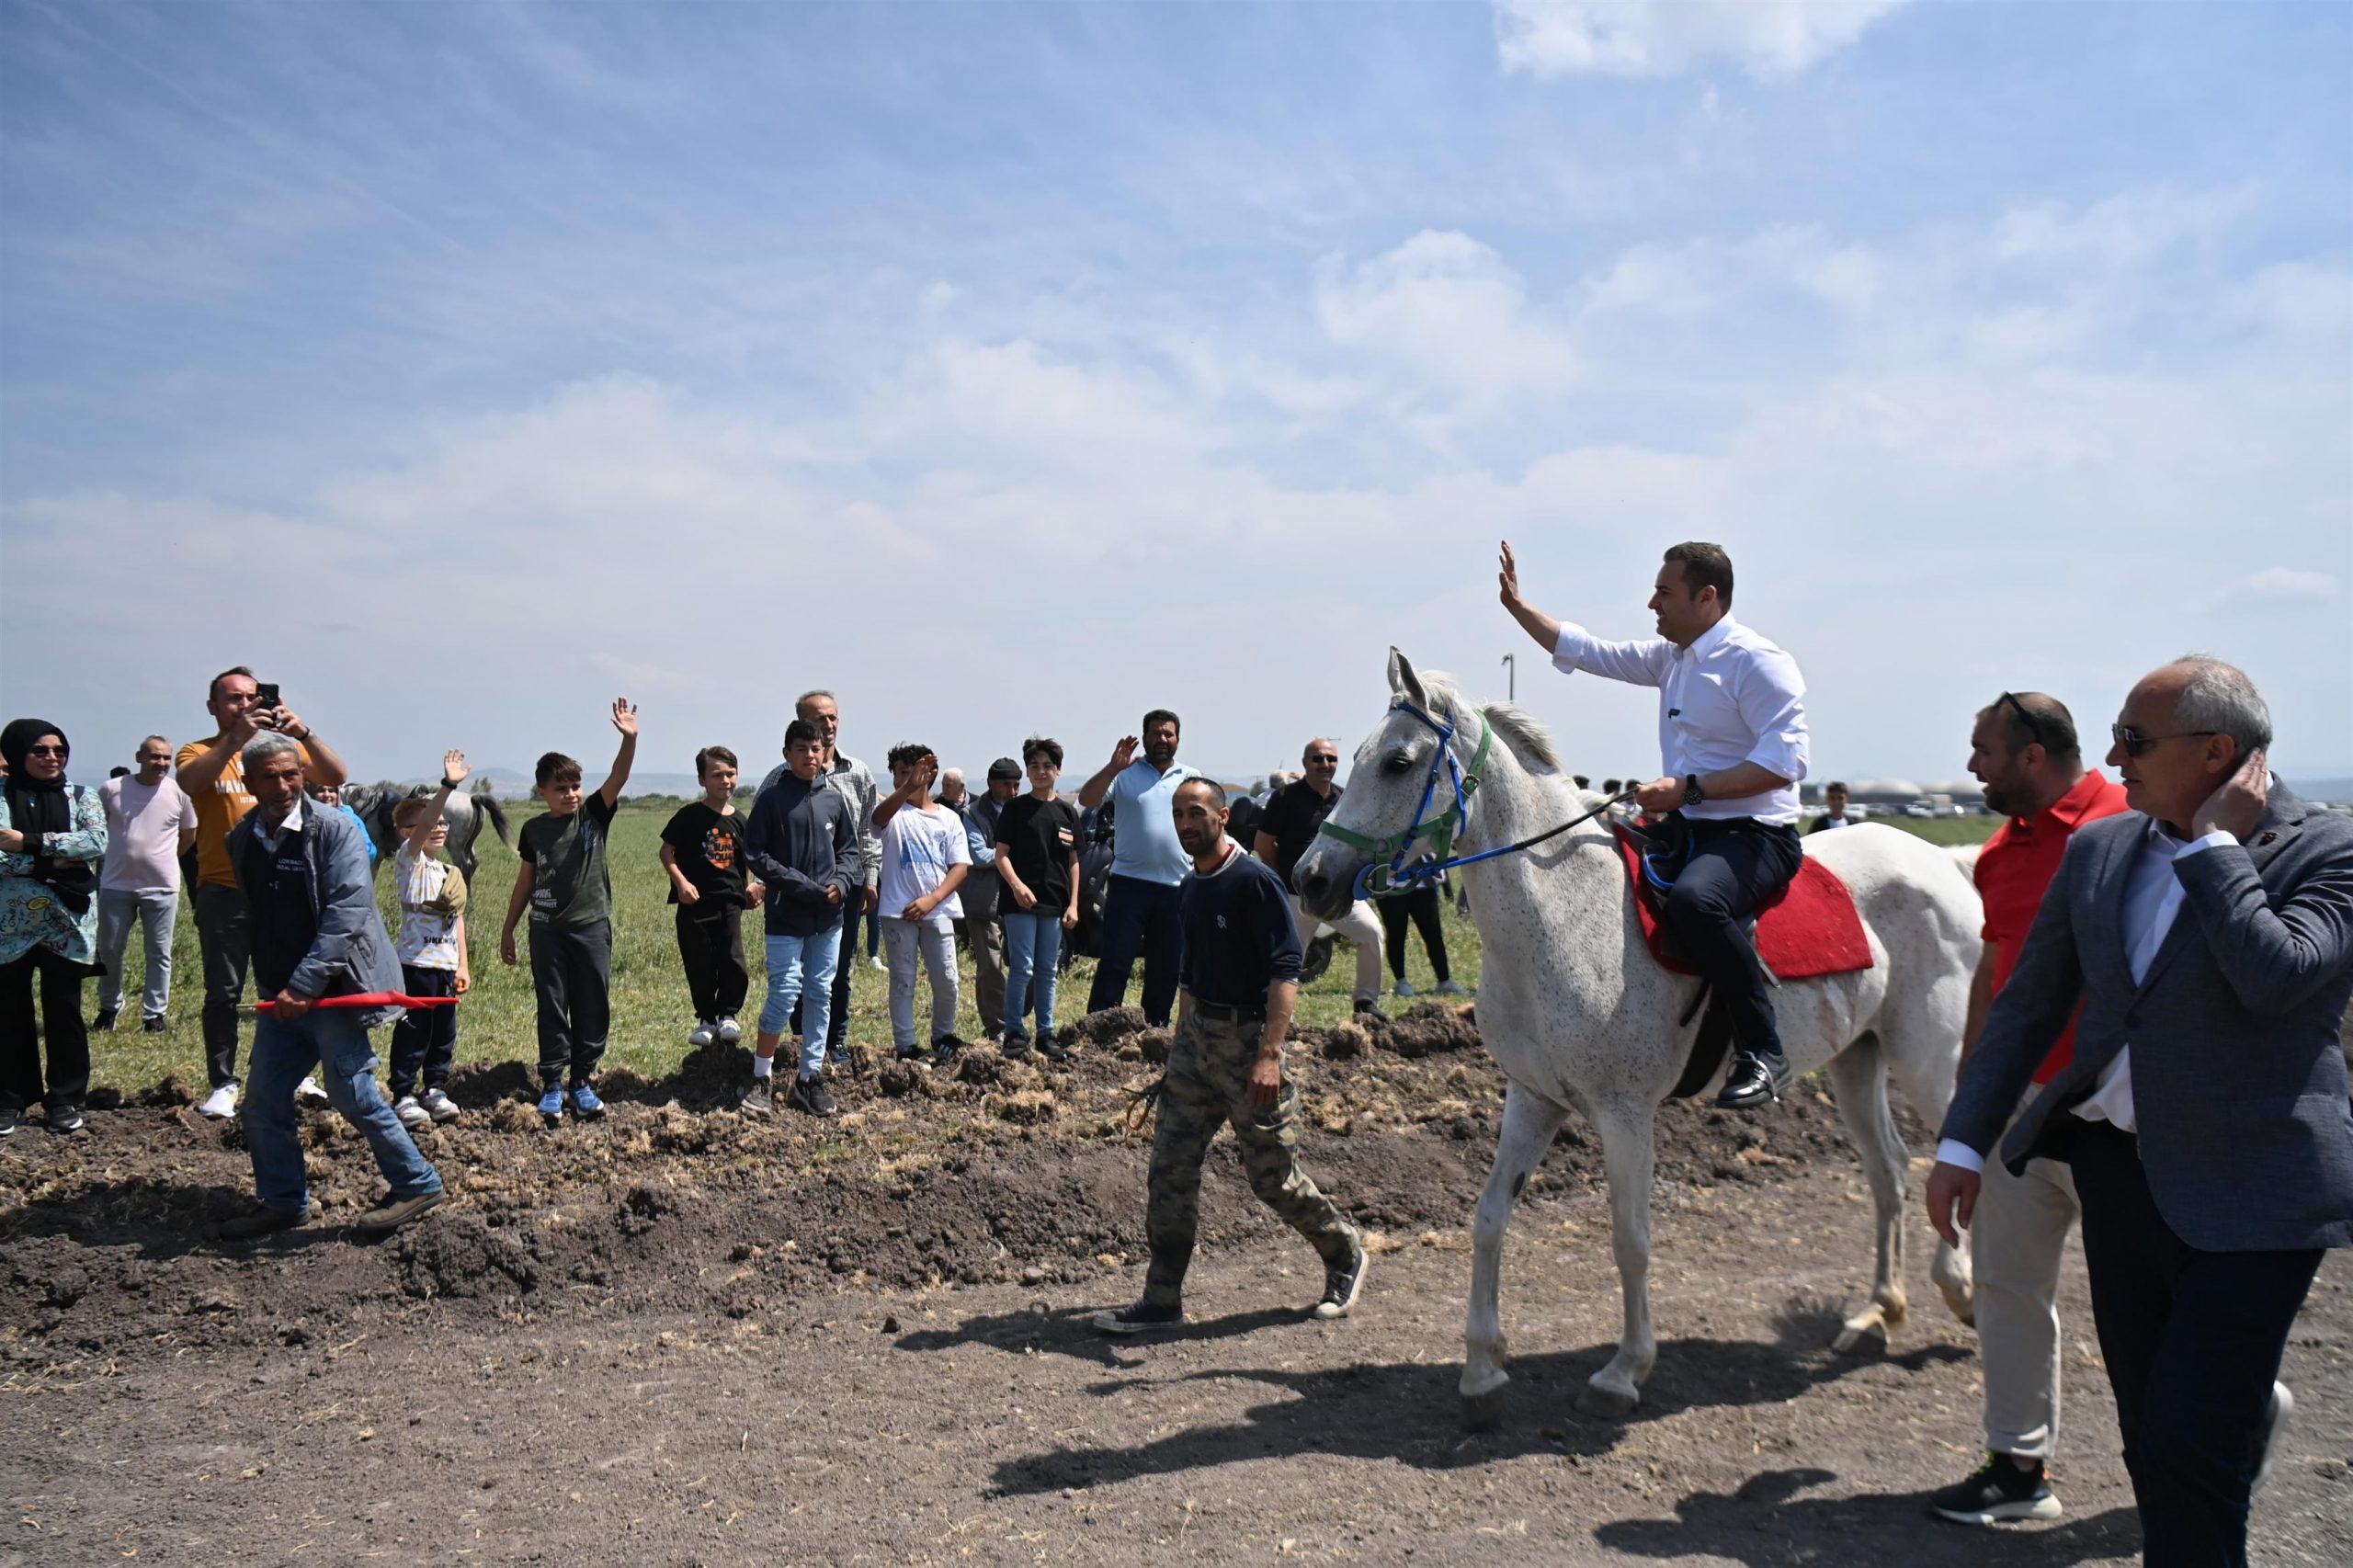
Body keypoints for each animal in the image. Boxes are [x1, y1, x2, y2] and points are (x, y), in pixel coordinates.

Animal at [1289, 644, 1985, 1412]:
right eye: (1355, 757)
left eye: (1398, 762)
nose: (1310, 878)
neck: (1565, 913)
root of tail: (1942, 862)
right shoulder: (1533, 1098)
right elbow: (1489, 1218)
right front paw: (1482, 1364)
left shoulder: (1624, 1113)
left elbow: (1630, 1239)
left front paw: (1626, 1368)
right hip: (1858, 1058)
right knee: (1889, 1171)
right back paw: (1879, 1311)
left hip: (1927, 1053)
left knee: (1952, 1161)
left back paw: (1961, 1292)